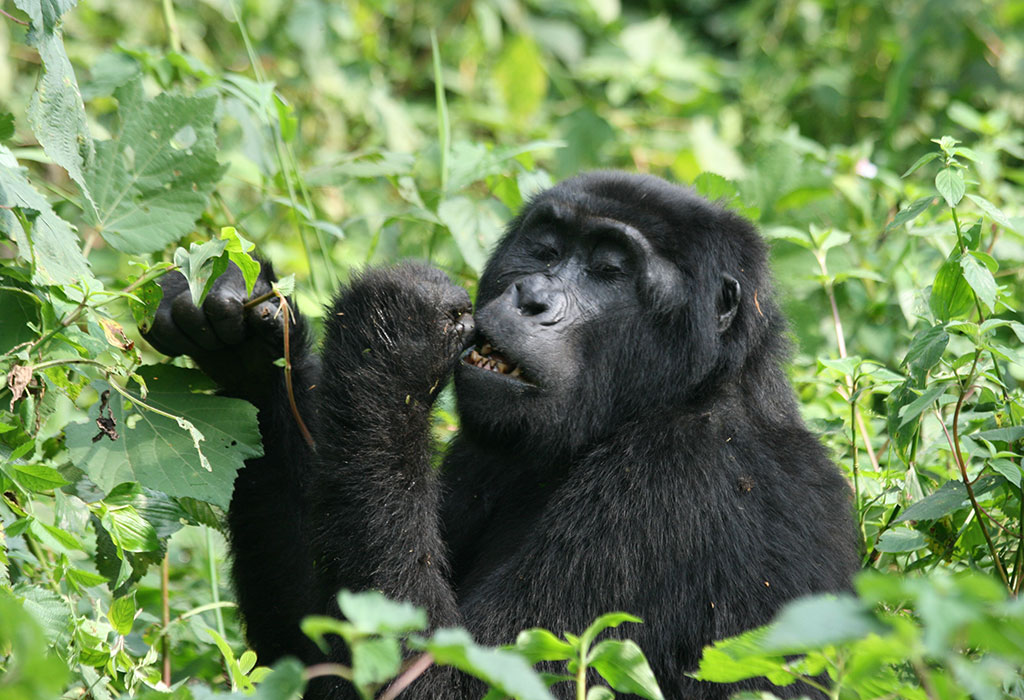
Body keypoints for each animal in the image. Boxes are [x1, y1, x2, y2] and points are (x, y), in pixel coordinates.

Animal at [144, 170, 860, 700]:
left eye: (608, 270)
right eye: (544, 249)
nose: (532, 299)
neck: (693, 389)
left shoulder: (679, 483)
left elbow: (458, 681)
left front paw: (390, 334)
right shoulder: (490, 450)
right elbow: (306, 651)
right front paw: (252, 343)